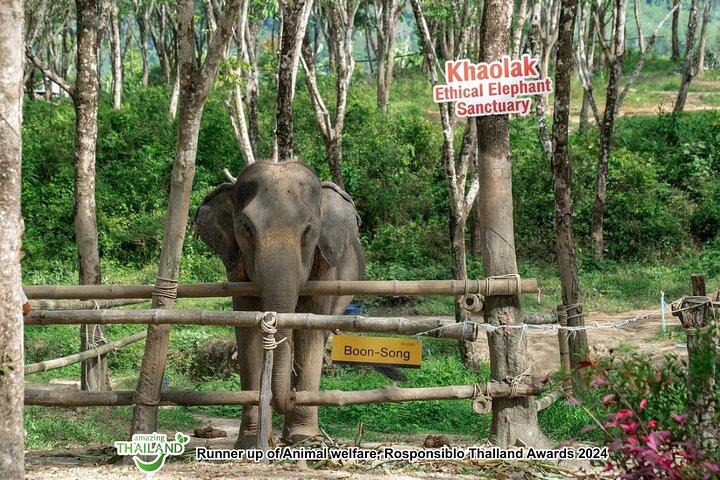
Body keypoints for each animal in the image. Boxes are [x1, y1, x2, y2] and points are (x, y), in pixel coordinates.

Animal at [191, 160, 389, 447]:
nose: (288, 398)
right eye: (246, 227)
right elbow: (247, 329)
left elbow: (311, 328)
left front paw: (303, 438)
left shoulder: (326, 269)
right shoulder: (235, 271)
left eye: (308, 229)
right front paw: (250, 442)